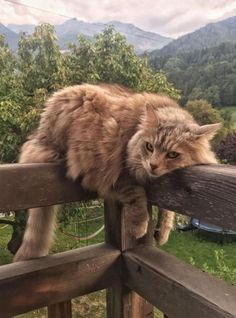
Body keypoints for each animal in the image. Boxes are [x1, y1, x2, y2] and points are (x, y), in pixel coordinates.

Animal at [12, 84, 220, 260]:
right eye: (149, 147)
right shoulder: (117, 175)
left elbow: (168, 209)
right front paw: (139, 228)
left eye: (172, 154)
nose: (152, 165)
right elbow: (138, 197)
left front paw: (162, 231)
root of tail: (40, 132)